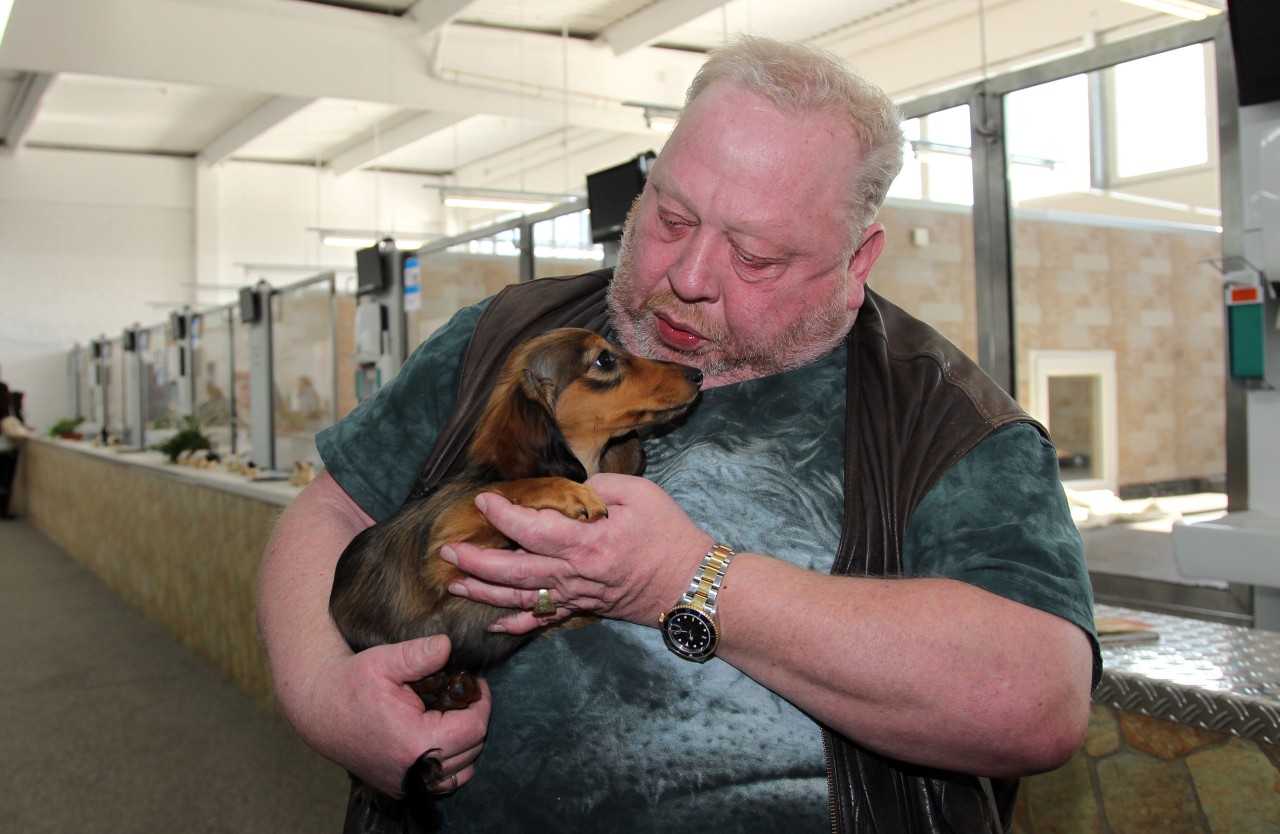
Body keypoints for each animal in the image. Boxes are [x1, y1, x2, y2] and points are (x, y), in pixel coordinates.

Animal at [327, 326, 701, 828]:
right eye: (604, 361)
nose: (697, 374)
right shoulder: (449, 548)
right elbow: (510, 489)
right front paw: (567, 491)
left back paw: (454, 687)